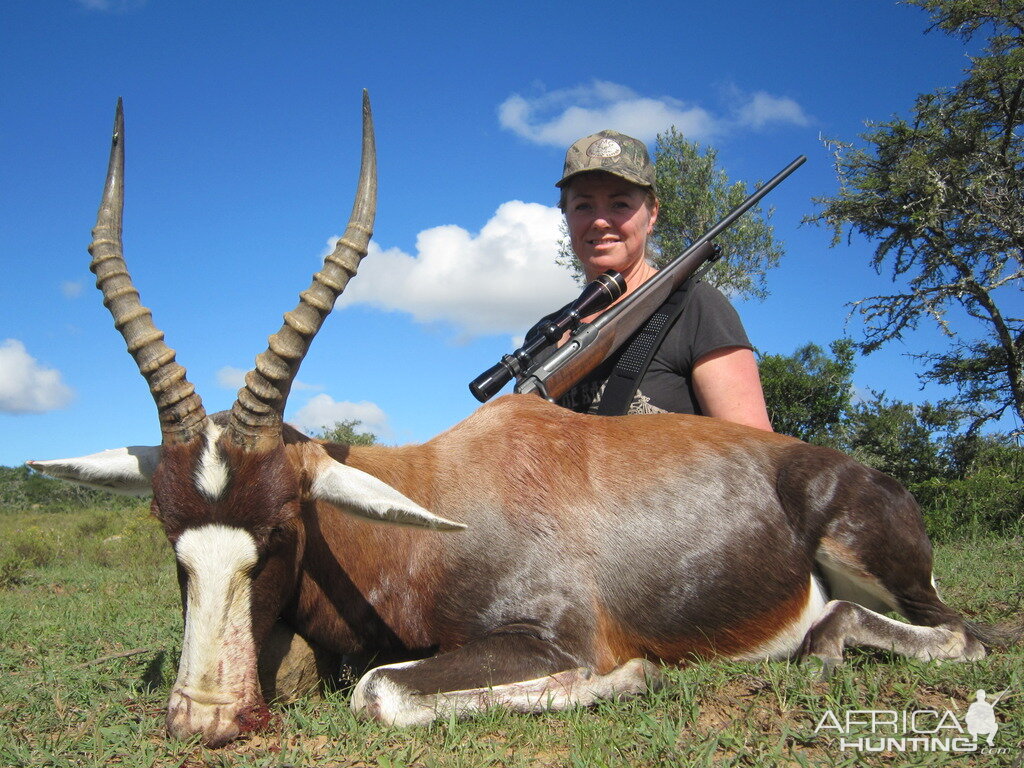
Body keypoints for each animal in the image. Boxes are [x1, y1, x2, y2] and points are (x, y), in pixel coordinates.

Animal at [32, 93, 991, 749]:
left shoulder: (550, 638)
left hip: (881, 566)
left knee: (958, 634)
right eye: (170, 535)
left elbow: (379, 690)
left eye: (276, 530)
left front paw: (632, 676)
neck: (433, 506)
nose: (205, 719)